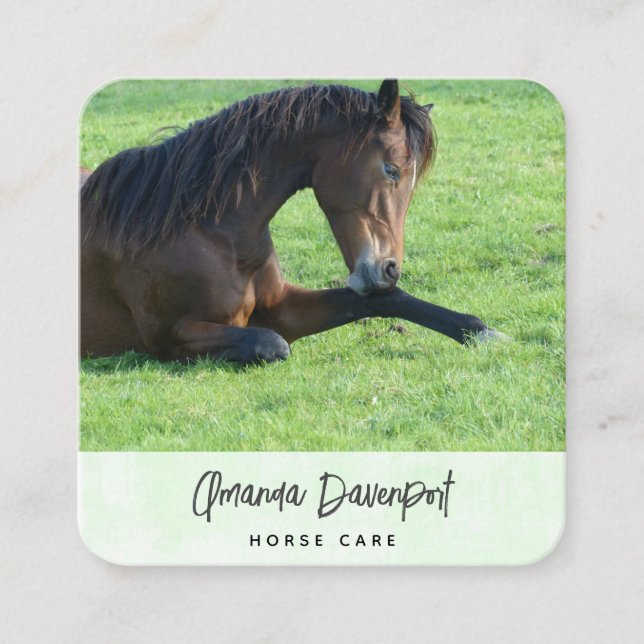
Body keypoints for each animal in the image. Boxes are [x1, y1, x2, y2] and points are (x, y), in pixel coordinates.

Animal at [80, 79, 504, 364]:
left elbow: (386, 300)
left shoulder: (283, 306)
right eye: (392, 169)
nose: (389, 269)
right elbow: (271, 343)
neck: (208, 231)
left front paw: (483, 332)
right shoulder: (170, 337)